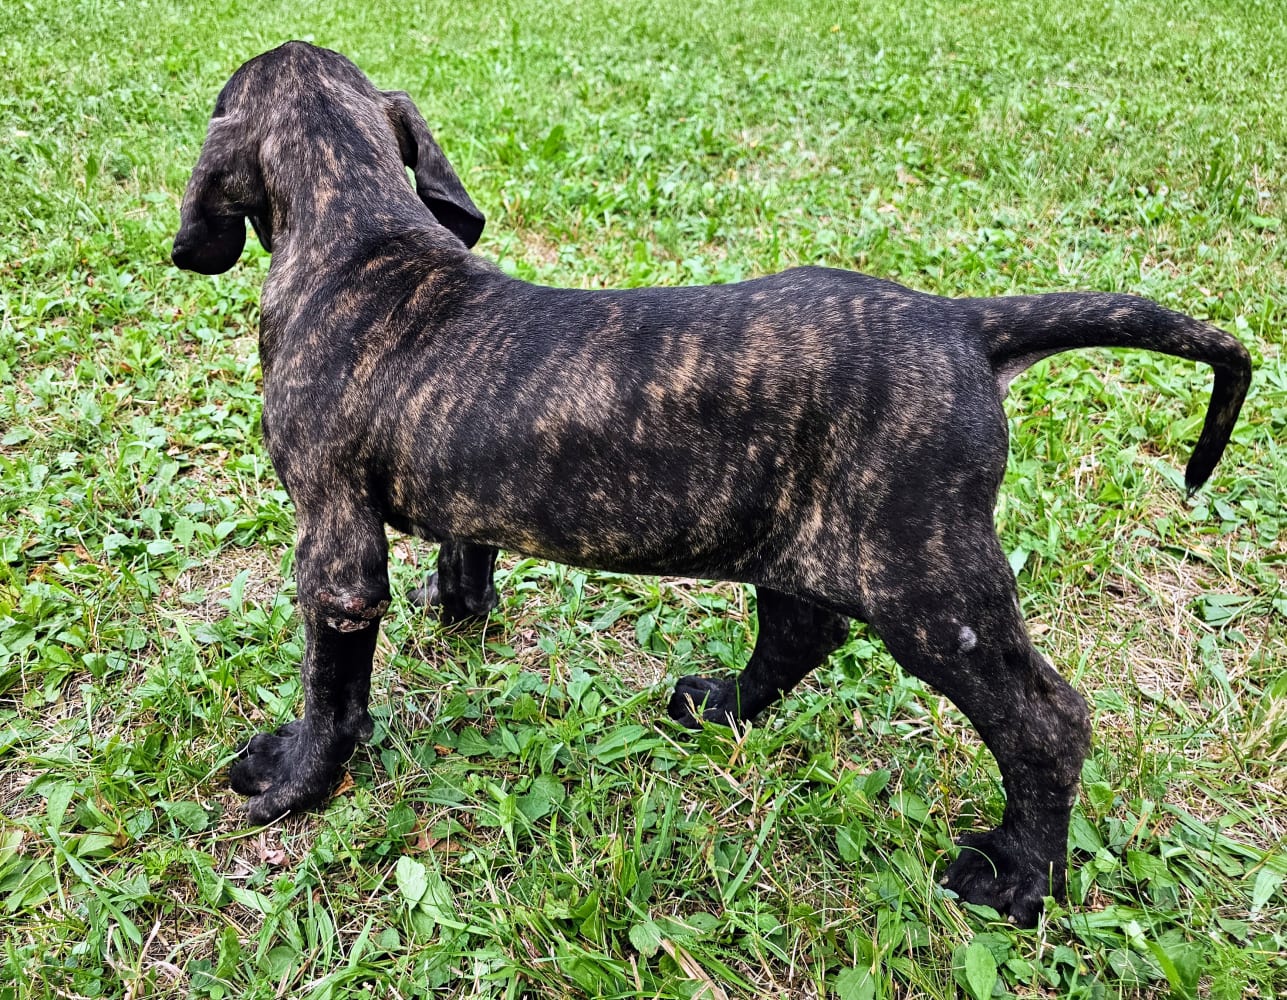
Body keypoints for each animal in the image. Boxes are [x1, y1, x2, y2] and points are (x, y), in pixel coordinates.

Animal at [171, 42, 1245, 926]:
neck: (365, 236)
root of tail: (963, 322)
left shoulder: (335, 548)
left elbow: (332, 685)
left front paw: (296, 781)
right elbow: (464, 545)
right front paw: (460, 610)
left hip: (930, 591)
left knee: (1045, 722)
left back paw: (1020, 878)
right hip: (804, 540)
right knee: (802, 631)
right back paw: (722, 705)